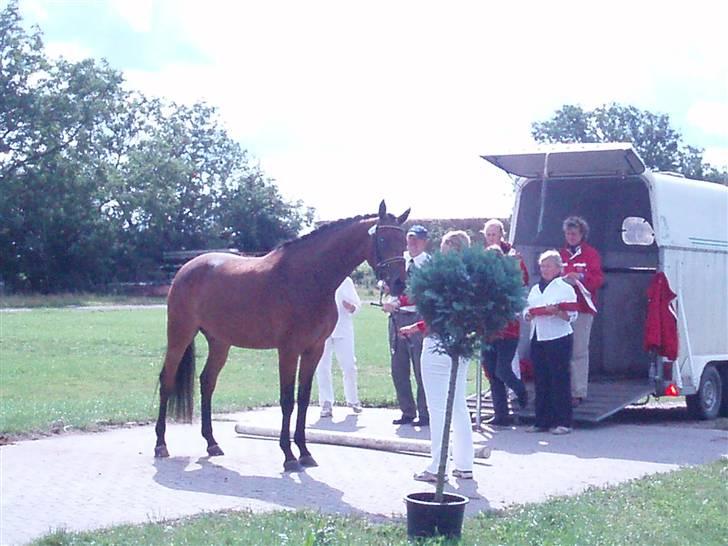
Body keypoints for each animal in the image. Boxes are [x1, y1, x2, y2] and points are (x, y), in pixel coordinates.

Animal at [154, 200, 410, 468]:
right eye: (382, 239)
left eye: (403, 241)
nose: (399, 283)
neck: (309, 278)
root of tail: (185, 269)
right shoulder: (288, 350)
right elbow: (287, 400)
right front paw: (288, 455)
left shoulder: (314, 349)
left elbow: (304, 399)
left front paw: (305, 452)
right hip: (180, 335)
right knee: (167, 380)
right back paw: (161, 444)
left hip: (220, 342)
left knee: (207, 382)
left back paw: (212, 443)